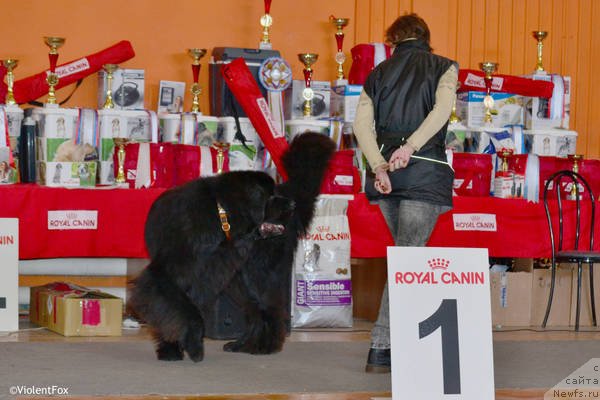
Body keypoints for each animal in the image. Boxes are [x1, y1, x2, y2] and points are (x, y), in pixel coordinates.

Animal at [128, 132, 336, 362]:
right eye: (269, 195)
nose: (291, 204)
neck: (221, 214)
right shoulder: (173, 273)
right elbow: (177, 309)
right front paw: (173, 348)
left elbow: (186, 310)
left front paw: (191, 345)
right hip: (237, 279)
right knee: (256, 310)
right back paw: (245, 345)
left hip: (254, 274)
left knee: (268, 308)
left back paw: (264, 346)